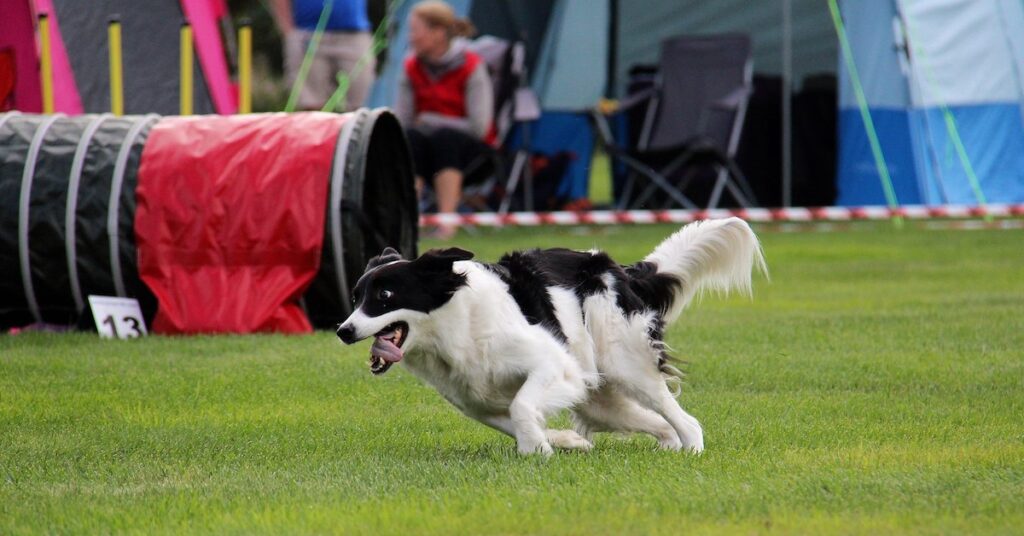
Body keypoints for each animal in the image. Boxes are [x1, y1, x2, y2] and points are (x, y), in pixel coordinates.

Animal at [337, 218, 770, 457]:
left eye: (385, 296)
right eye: (356, 298)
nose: (344, 331)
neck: (457, 322)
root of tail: (623, 271)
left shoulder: (554, 365)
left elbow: (522, 407)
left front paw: (536, 450)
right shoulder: (476, 401)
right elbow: (512, 418)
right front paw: (562, 442)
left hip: (625, 365)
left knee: (683, 417)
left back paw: (692, 449)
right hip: (598, 396)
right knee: (654, 419)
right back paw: (668, 444)